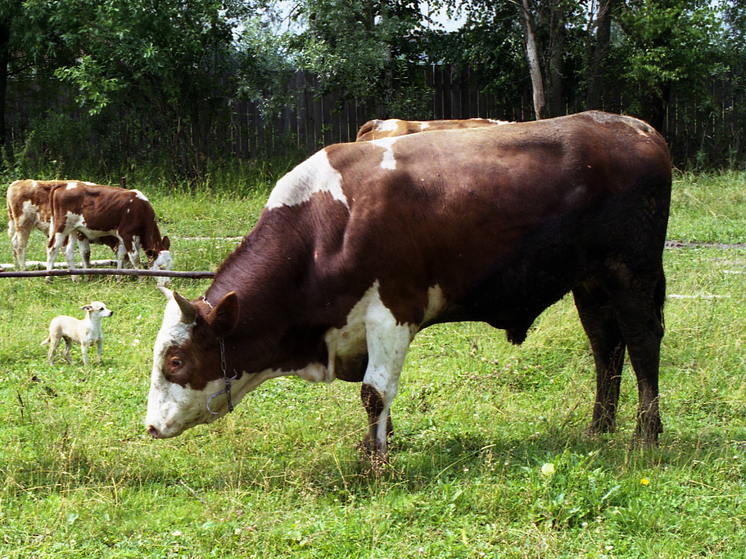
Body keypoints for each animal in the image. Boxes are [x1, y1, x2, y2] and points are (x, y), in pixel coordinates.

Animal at [145, 111, 668, 466]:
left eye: (177, 361)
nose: (150, 425)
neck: (326, 228)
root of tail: (637, 127)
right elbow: (376, 394)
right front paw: (378, 442)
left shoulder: (392, 313)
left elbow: (375, 392)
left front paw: (375, 461)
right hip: (591, 282)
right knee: (605, 346)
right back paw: (598, 428)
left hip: (633, 271)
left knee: (641, 342)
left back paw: (645, 435)